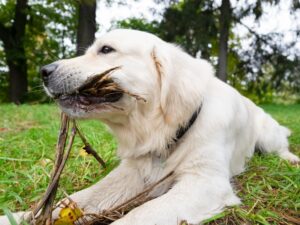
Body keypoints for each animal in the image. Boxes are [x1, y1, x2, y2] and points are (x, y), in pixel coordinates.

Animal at [1, 29, 298, 224]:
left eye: (106, 50)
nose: (44, 71)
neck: (167, 132)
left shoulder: (205, 182)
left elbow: (137, 216)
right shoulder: (133, 172)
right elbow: (75, 199)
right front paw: (19, 216)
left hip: (269, 136)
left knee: (281, 146)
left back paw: (290, 159)